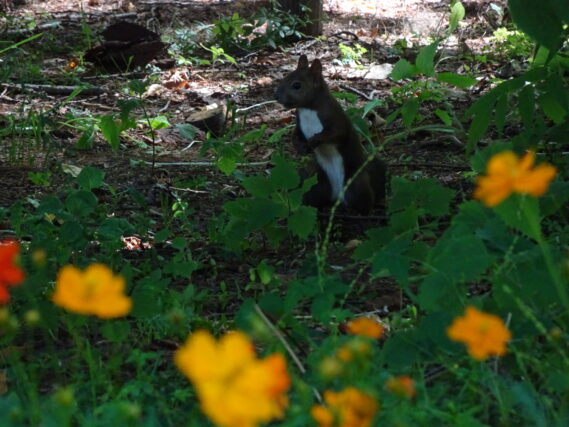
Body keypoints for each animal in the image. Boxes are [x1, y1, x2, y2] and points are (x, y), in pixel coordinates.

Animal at [274, 55, 386, 216]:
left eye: (296, 85)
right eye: (285, 77)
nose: (276, 96)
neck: (308, 109)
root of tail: (337, 197)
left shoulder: (336, 120)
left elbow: (335, 133)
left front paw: (315, 140)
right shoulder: (299, 124)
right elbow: (295, 136)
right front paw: (301, 147)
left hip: (356, 185)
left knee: (364, 203)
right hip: (317, 182)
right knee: (314, 196)